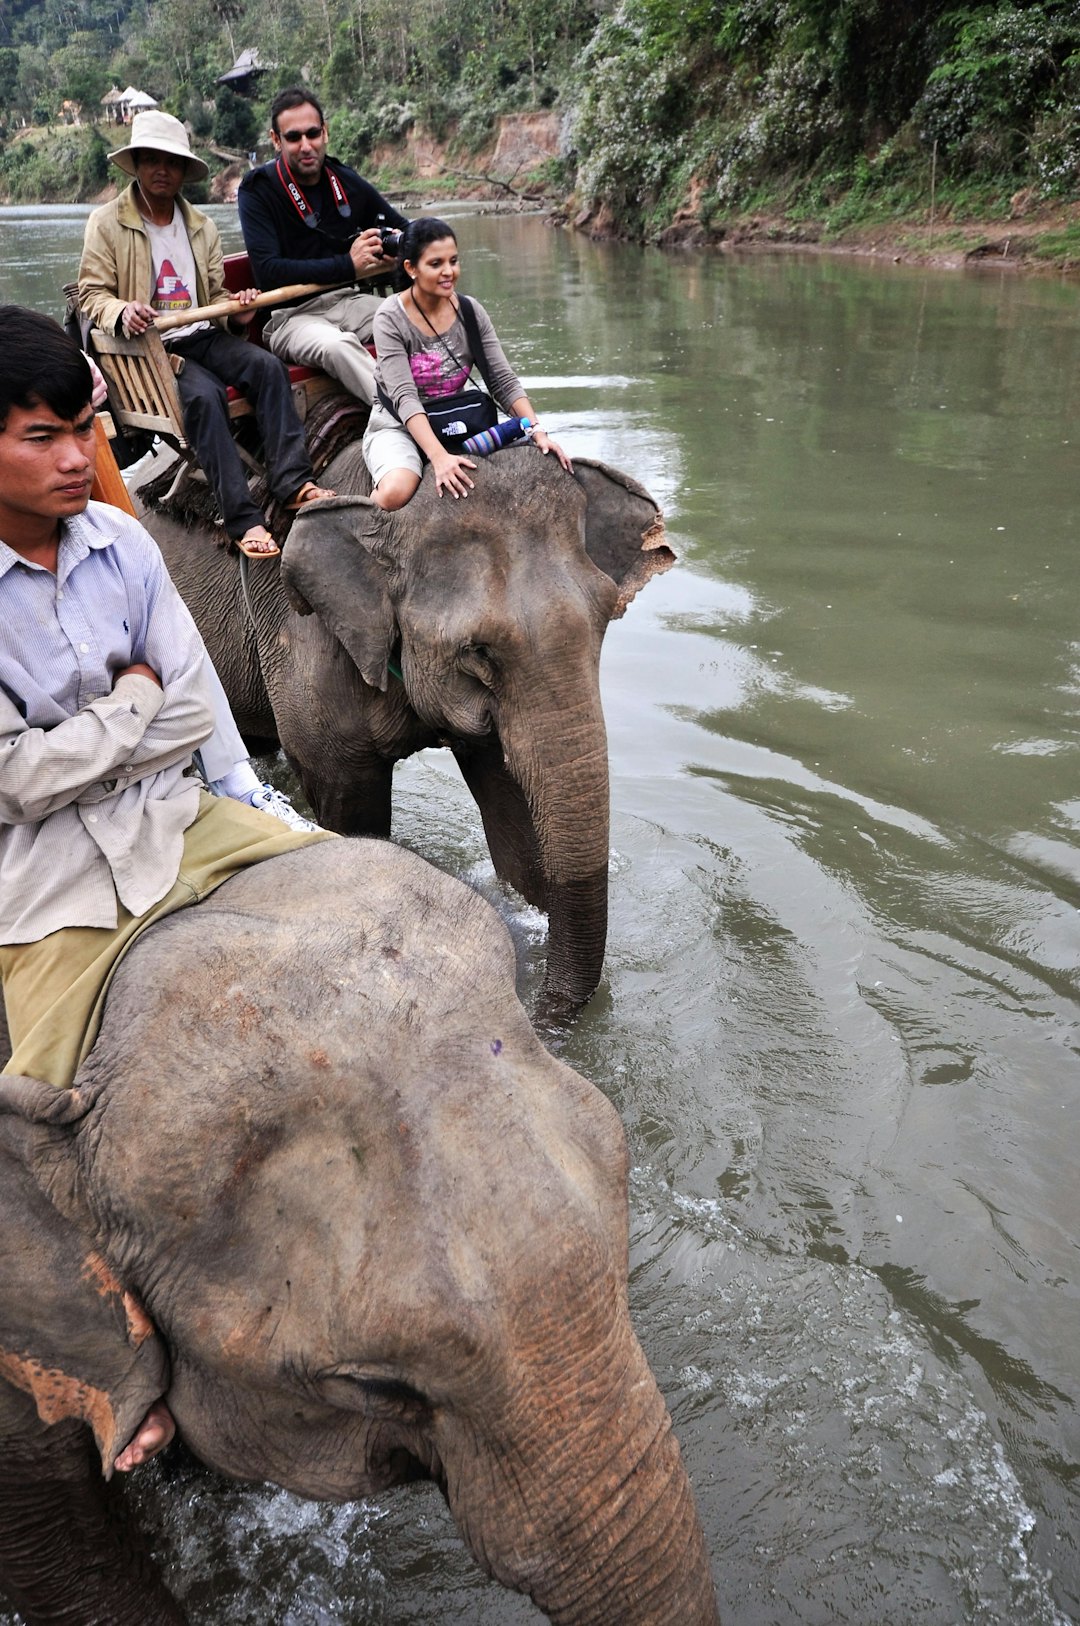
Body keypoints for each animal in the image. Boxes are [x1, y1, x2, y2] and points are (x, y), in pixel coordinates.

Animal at [139, 439, 670, 1008]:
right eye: (478, 650)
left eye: (605, 619)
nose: (536, 1003)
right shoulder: (304, 641)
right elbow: (351, 810)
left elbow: (510, 806)